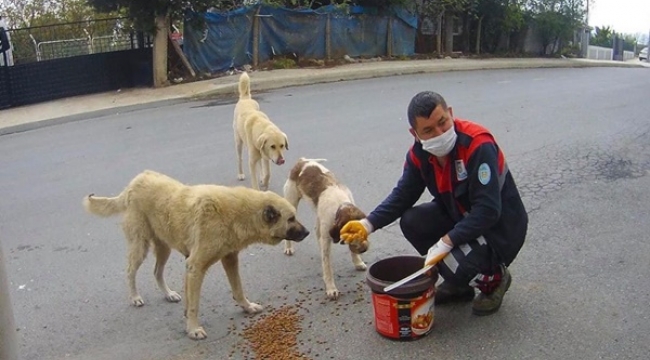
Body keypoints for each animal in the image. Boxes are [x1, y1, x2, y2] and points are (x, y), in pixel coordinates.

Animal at [81, 170, 308, 338]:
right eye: (291, 219)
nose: (307, 232)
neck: (238, 212)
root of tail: (134, 182)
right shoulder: (195, 267)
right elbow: (194, 305)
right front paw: (192, 329)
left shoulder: (229, 259)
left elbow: (237, 289)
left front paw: (247, 307)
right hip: (140, 246)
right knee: (130, 271)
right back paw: (135, 297)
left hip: (164, 247)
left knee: (157, 272)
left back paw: (168, 294)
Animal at [282, 159, 368, 300]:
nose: (363, 250)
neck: (340, 204)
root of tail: (302, 161)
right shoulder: (327, 237)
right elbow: (327, 267)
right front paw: (331, 288)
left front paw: (357, 262)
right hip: (291, 203)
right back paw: (288, 247)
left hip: (318, 215)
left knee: (317, 232)